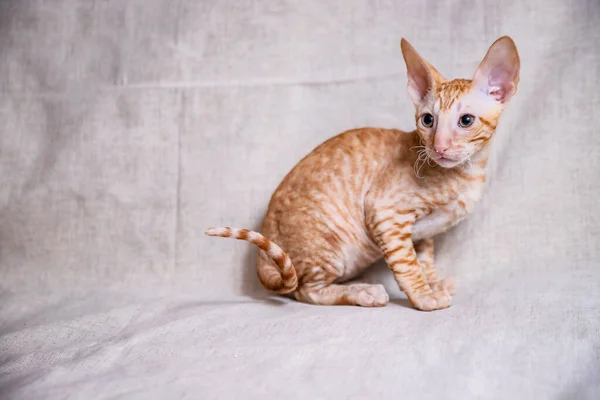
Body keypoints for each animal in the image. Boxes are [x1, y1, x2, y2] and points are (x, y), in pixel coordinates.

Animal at [204, 36, 516, 312]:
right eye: (428, 120)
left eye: (466, 121)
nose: (438, 147)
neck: (468, 172)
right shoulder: (385, 210)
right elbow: (407, 263)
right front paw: (424, 296)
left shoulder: (423, 234)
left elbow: (423, 259)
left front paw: (433, 283)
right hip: (328, 245)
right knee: (306, 292)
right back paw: (362, 292)